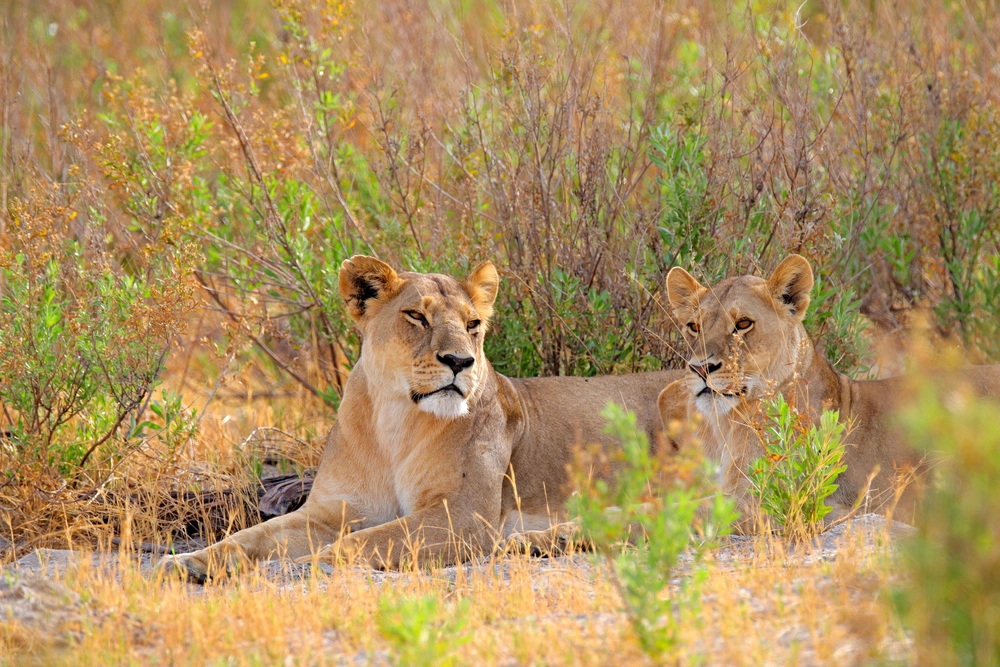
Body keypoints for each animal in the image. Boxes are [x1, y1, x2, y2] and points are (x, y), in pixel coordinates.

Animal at [160, 256, 683, 580]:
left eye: (473, 324)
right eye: (416, 316)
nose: (460, 361)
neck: (396, 419)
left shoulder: (465, 516)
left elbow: (371, 540)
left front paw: (324, 561)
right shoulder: (329, 511)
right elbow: (249, 536)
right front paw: (189, 563)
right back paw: (544, 541)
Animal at [657, 254, 1000, 528]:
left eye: (743, 324)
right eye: (694, 327)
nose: (700, 369)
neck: (728, 426)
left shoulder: (769, 502)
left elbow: (672, 512)